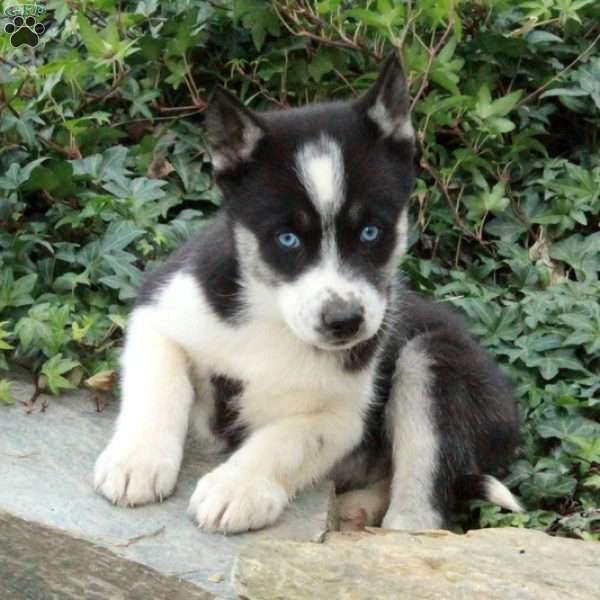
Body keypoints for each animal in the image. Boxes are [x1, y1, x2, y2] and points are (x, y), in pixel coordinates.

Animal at [92, 55, 520, 536]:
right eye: (288, 239)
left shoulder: (343, 415)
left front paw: (235, 488)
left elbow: (286, 439)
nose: (345, 322)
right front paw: (137, 461)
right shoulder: (160, 308)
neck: (271, 316)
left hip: (434, 360)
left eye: (371, 232)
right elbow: (160, 386)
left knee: (422, 510)